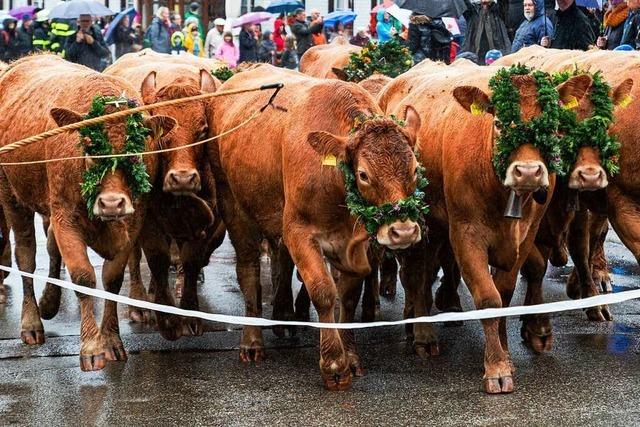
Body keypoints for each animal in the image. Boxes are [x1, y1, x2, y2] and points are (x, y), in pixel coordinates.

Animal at [0, 55, 174, 372]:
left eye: (135, 151)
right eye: (91, 146)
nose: (111, 204)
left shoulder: (132, 223)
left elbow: (111, 280)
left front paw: (113, 342)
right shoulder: (66, 219)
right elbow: (84, 279)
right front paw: (92, 349)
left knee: (51, 249)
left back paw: (50, 303)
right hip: (12, 198)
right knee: (26, 257)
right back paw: (31, 323)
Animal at [210, 64, 424, 392]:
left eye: (414, 170)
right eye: (363, 175)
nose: (403, 231)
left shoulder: (356, 244)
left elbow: (347, 297)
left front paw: (351, 356)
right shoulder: (299, 232)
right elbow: (323, 291)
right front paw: (334, 365)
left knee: (281, 262)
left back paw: (284, 316)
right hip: (234, 207)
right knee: (248, 271)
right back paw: (252, 341)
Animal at [384, 63, 592, 394]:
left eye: (551, 124)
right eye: (500, 123)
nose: (528, 172)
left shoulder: (528, 235)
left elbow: (504, 295)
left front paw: (506, 353)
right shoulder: (465, 234)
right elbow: (488, 298)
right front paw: (496, 368)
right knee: (416, 276)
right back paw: (422, 334)